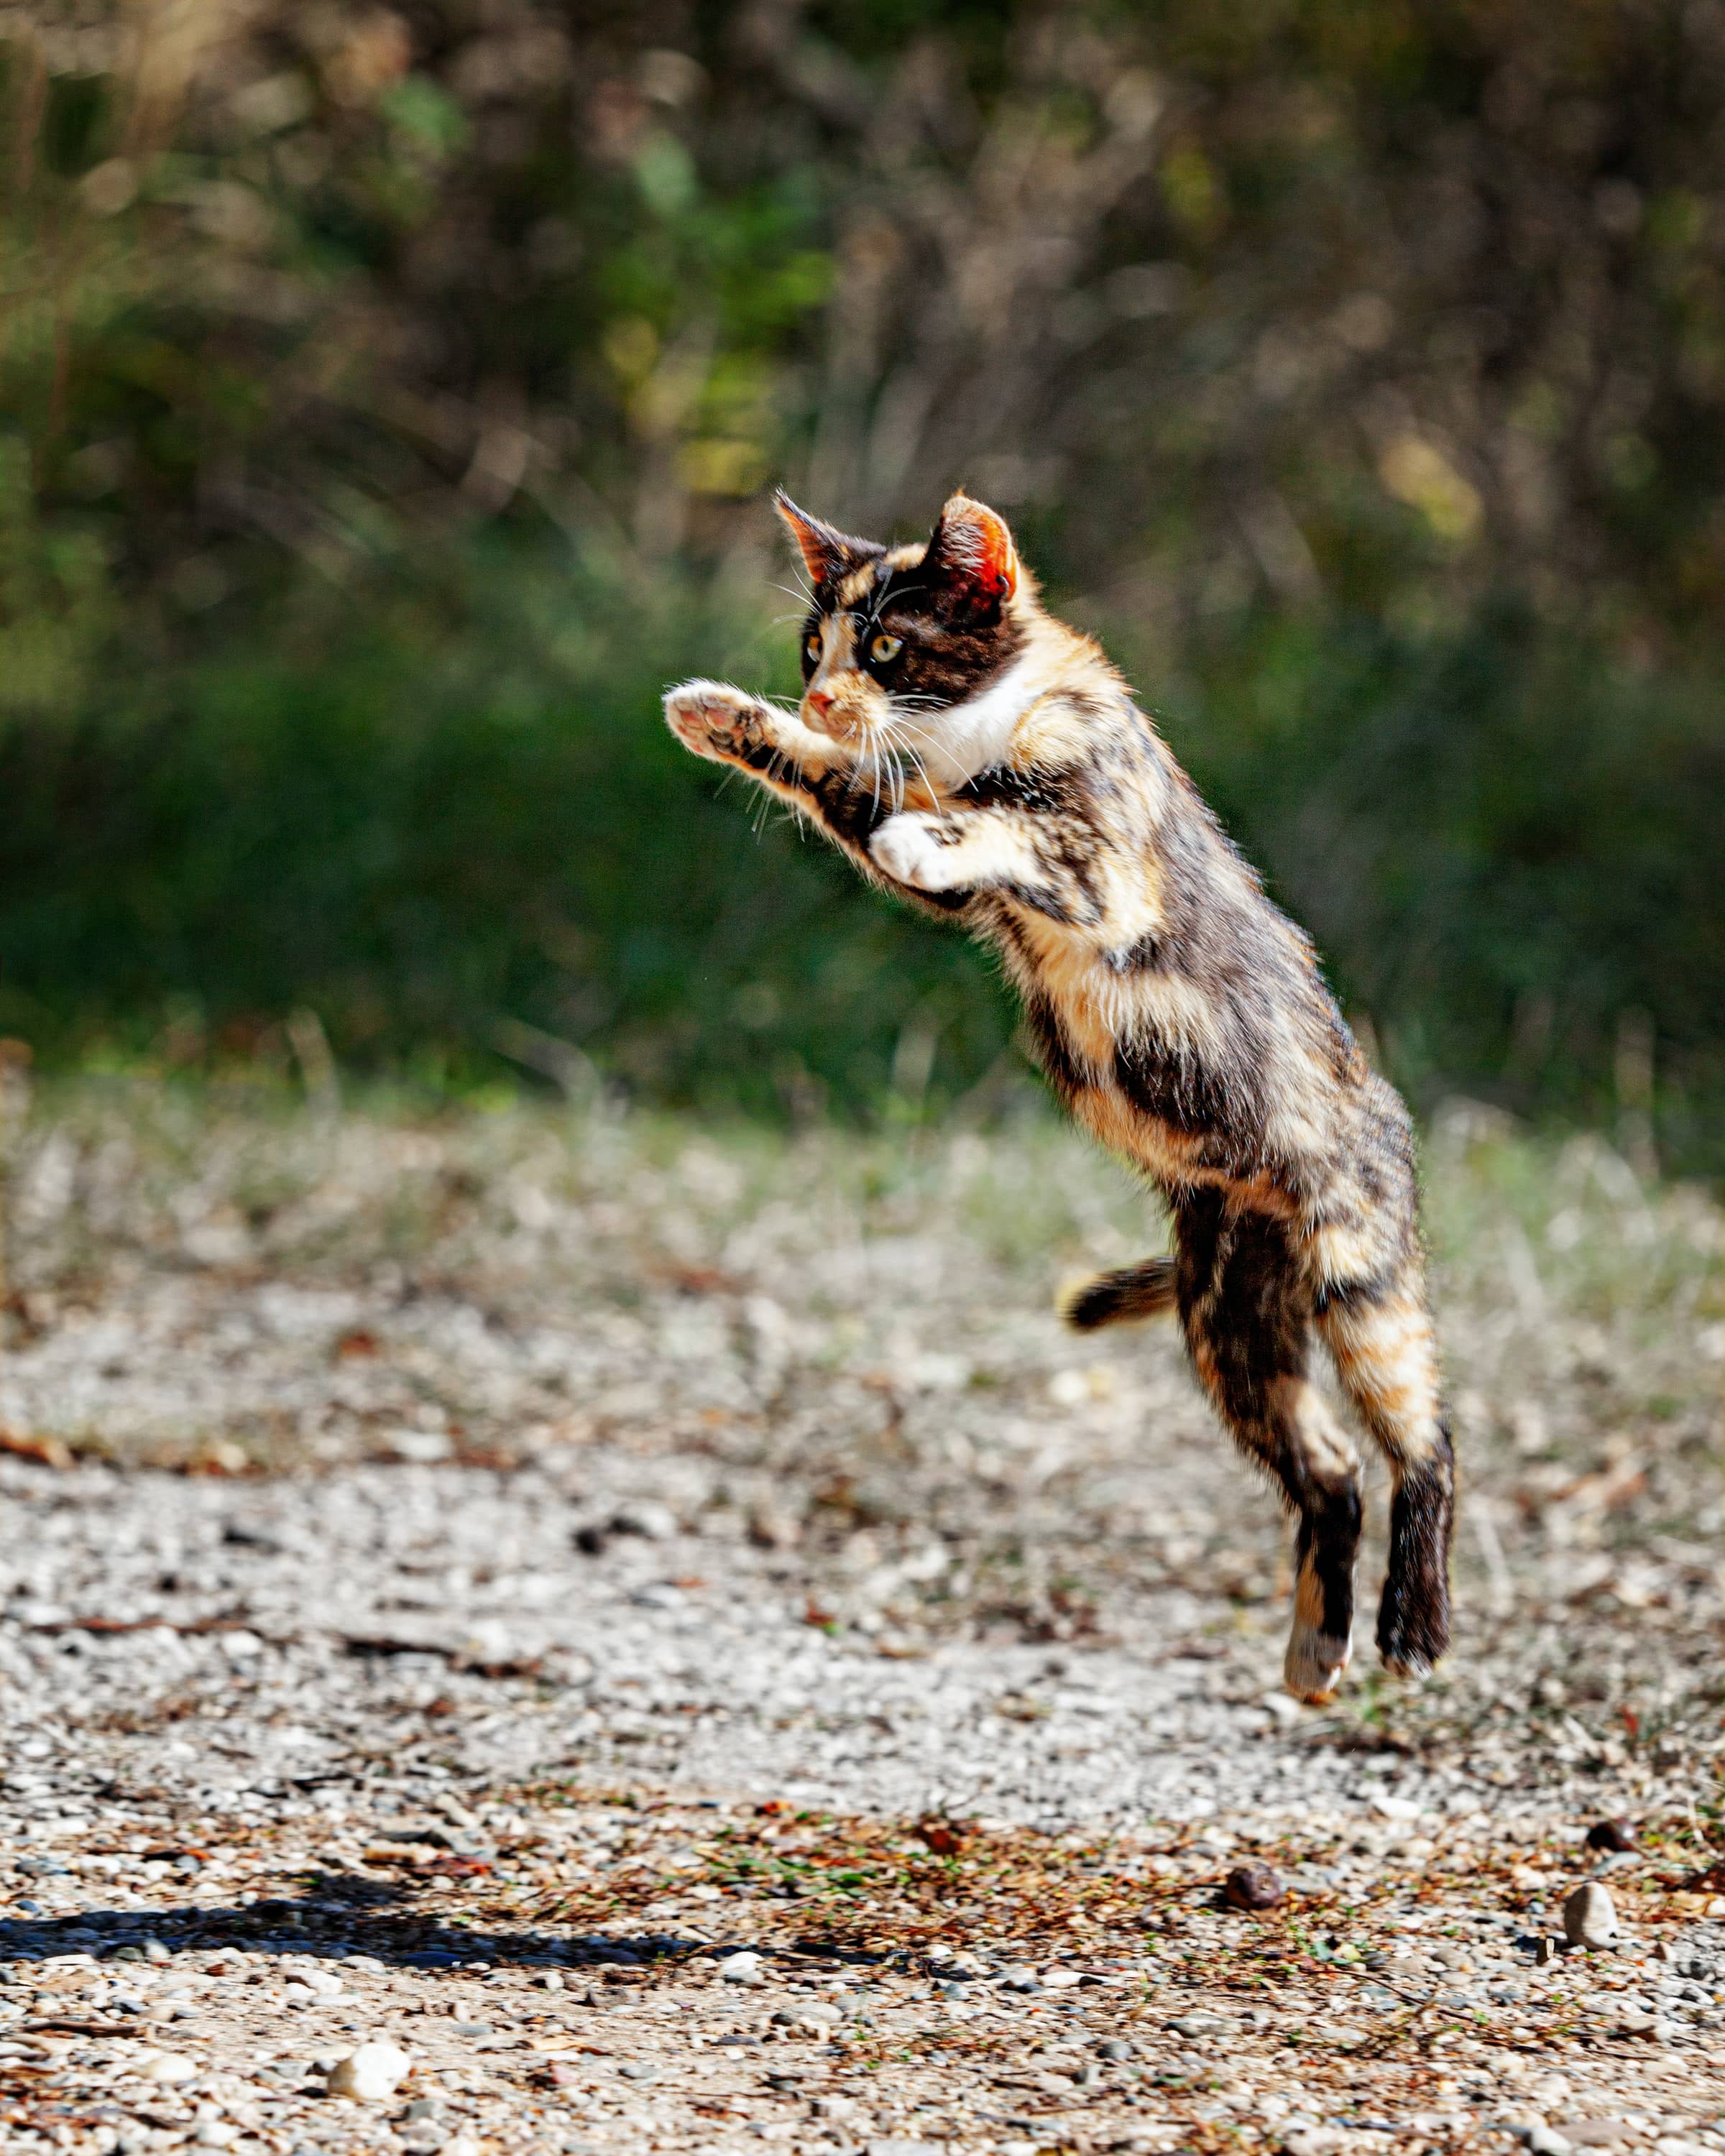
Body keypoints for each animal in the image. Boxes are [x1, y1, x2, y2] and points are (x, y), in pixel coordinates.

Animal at [668, 489, 1449, 1699]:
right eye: (812, 649)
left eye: (884, 648)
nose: (821, 692)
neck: (976, 736)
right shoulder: (918, 847)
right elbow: (856, 791)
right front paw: (728, 715)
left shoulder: (1103, 866)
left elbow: (1010, 827)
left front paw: (934, 815)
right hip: (1233, 1321)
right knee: (1326, 1466)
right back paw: (1316, 1648)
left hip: (1355, 1270)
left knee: (1425, 1437)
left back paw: (1413, 1626)